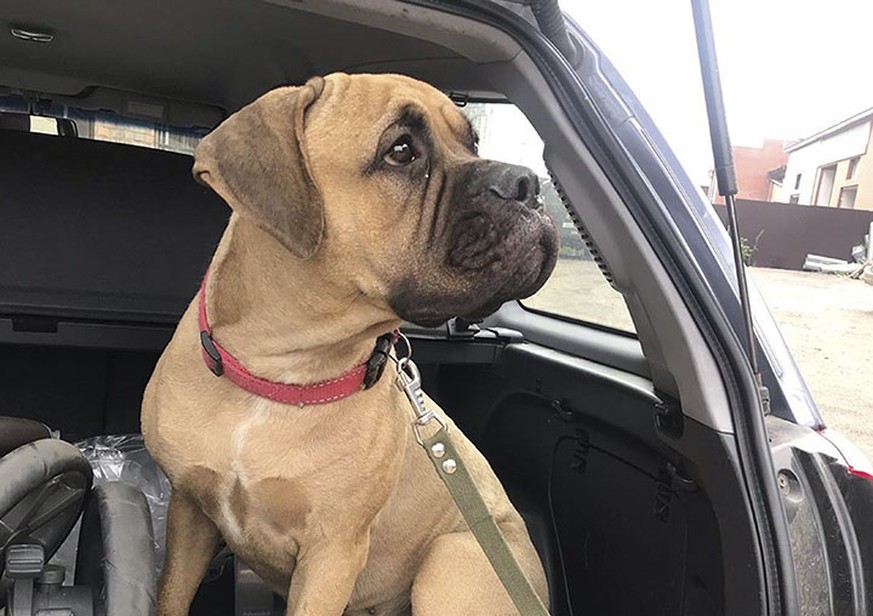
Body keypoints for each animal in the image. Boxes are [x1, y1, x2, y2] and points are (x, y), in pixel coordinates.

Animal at [140, 73, 556, 616]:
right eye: (401, 150)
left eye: (472, 143)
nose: (528, 183)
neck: (279, 368)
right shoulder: (189, 509)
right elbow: (171, 596)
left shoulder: (331, 555)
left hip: (451, 561)